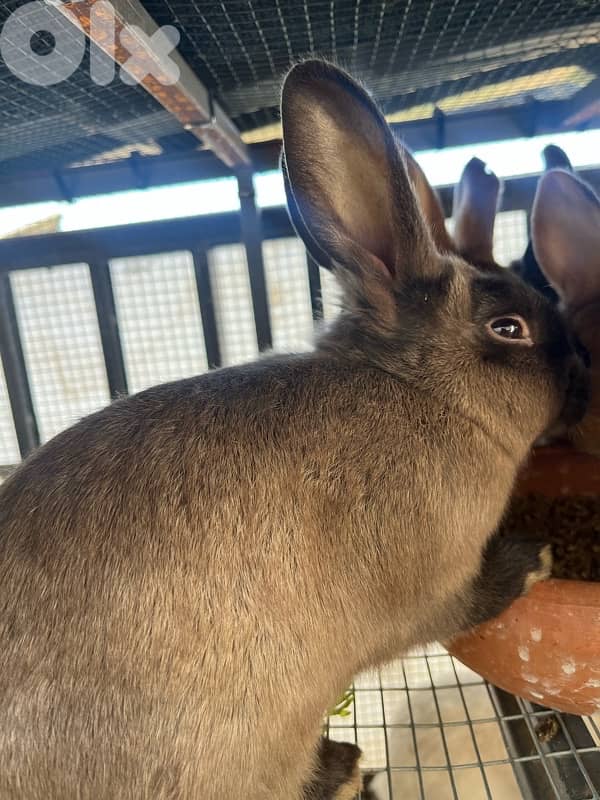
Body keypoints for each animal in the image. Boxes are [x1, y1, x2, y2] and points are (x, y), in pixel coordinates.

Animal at [0, 60, 589, 800]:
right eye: (509, 328)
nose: (583, 377)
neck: (420, 392)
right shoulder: (438, 586)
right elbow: (470, 601)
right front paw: (534, 559)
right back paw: (345, 767)